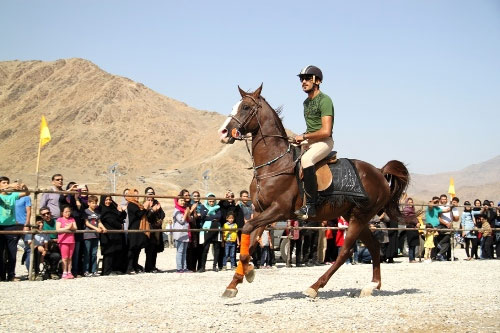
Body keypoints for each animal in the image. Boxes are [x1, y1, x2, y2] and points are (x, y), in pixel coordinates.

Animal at [217, 84, 408, 296]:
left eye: (246, 107)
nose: (223, 132)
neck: (274, 164)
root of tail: (379, 172)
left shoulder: (278, 210)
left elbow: (247, 231)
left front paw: (247, 273)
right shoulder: (260, 211)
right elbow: (249, 243)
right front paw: (235, 283)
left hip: (359, 217)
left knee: (345, 252)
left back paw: (315, 287)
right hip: (355, 216)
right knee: (373, 246)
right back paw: (372, 286)